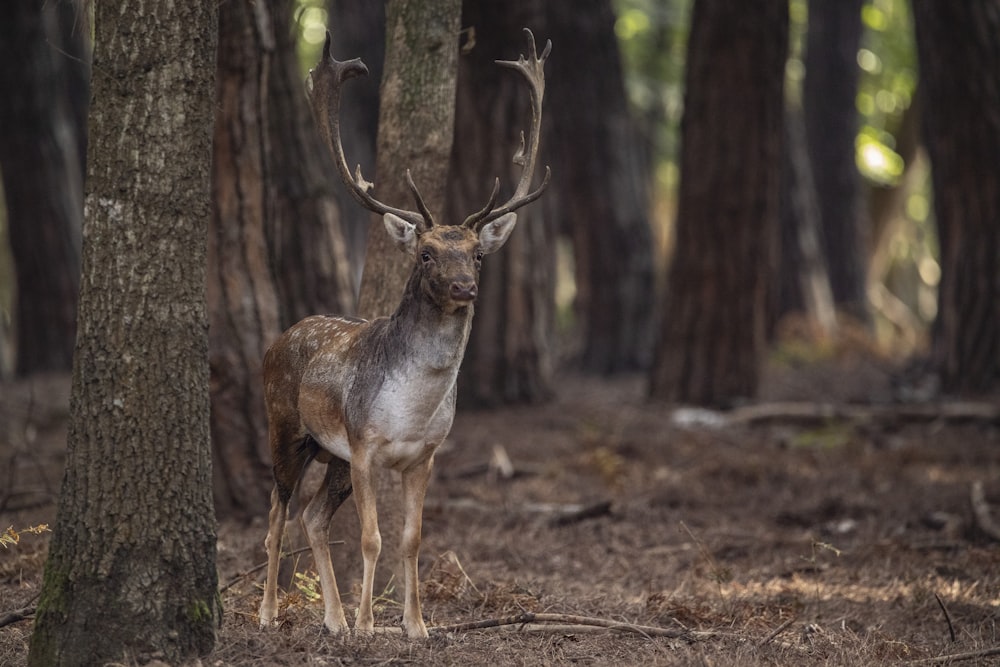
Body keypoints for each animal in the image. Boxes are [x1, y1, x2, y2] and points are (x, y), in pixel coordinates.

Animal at [258, 28, 552, 640]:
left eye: (478, 254)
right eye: (425, 253)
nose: (465, 287)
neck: (413, 411)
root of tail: (276, 339)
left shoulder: (424, 456)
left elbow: (412, 540)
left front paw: (416, 627)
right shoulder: (365, 445)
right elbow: (372, 539)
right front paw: (373, 625)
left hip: (332, 455)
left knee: (313, 517)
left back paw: (333, 621)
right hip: (287, 429)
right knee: (277, 514)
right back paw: (270, 613)